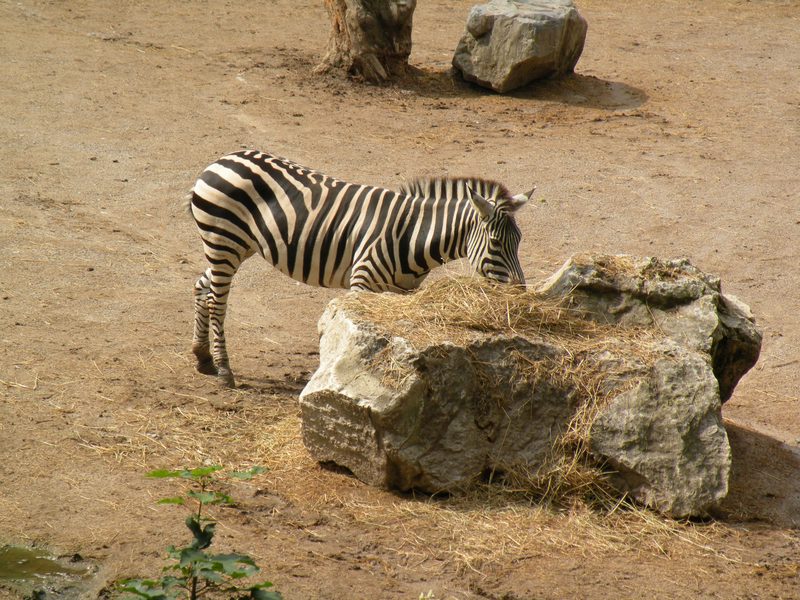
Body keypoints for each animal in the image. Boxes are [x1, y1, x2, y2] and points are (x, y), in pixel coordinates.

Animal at [189, 150, 533, 387]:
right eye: (495, 243)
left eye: (519, 241)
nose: (521, 294)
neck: (413, 236)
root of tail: (224, 158)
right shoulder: (361, 282)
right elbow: (356, 336)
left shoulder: (404, 292)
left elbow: (401, 333)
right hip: (225, 240)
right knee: (217, 301)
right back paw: (224, 370)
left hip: (238, 245)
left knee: (202, 286)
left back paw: (203, 358)